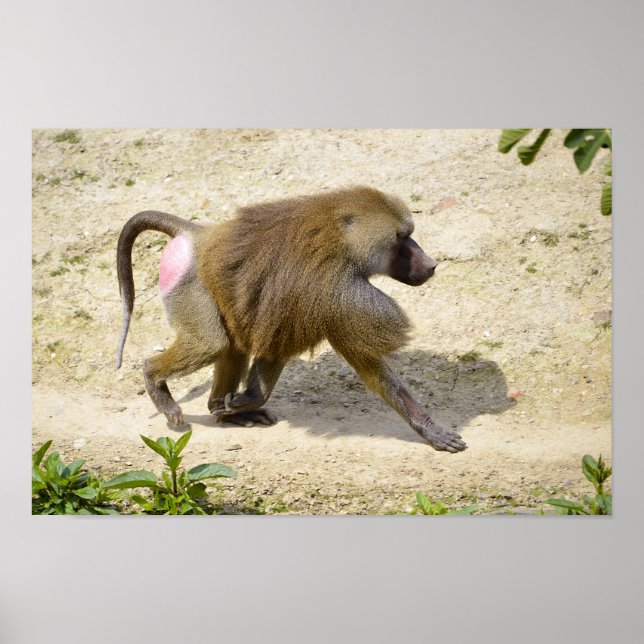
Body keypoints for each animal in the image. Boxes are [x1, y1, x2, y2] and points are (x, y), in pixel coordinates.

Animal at [116, 186, 466, 452]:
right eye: (401, 239)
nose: (431, 265)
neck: (343, 242)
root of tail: (200, 234)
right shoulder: (340, 294)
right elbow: (287, 343)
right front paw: (247, 400)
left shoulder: (338, 302)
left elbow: (366, 364)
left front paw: (429, 428)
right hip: (189, 283)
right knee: (209, 343)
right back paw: (155, 382)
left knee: (229, 344)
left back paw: (222, 410)